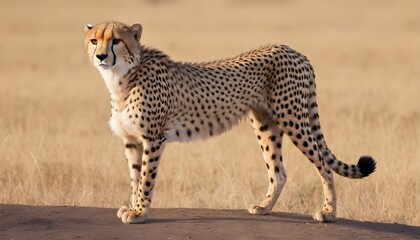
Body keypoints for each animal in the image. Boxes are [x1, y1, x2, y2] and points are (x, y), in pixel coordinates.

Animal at [83, 21, 376, 224]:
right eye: (94, 40)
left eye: (116, 41)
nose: (101, 56)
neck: (122, 77)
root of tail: (294, 50)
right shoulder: (132, 141)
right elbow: (134, 177)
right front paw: (133, 207)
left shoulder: (153, 138)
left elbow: (145, 178)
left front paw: (140, 212)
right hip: (265, 124)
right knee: (279, 172)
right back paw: (264, 207)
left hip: (292, 118)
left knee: (324, 165)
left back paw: (329, 213)